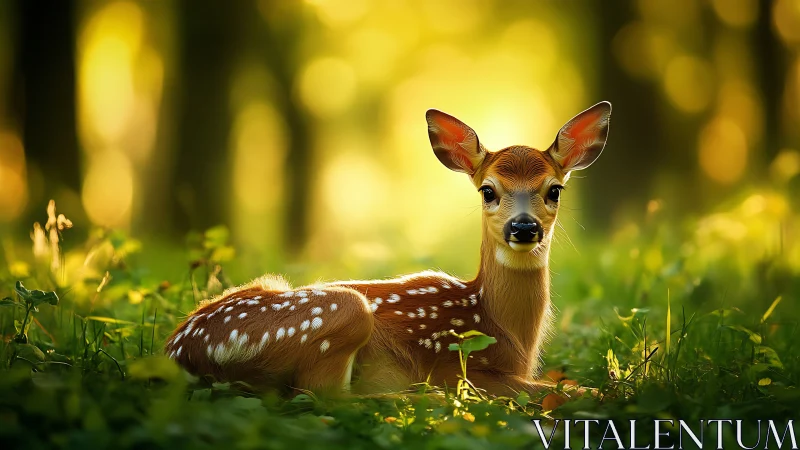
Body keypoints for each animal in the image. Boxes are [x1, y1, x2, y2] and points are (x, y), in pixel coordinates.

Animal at [165, 101, 611, 397]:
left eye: (554, 190)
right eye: (488, 190)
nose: (523, 227)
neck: (501, 325)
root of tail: (178, 352)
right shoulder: (463, 367)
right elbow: (557, 391)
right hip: (344, 311)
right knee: (325, 397)